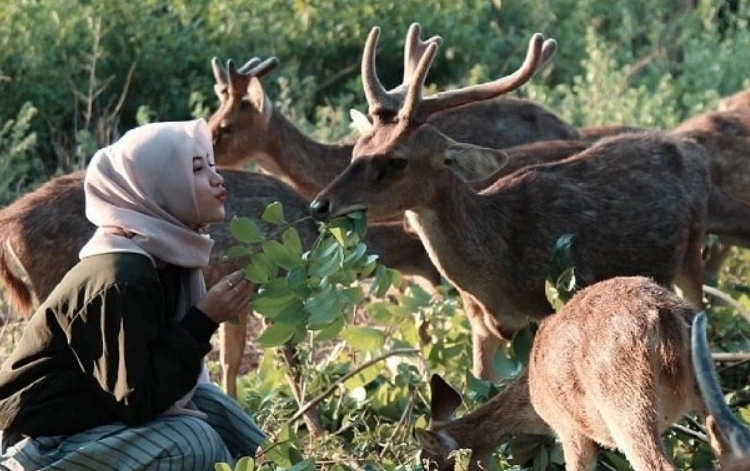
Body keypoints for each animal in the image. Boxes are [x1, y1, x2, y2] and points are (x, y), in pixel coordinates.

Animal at [308, 25, 712, 382]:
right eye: (357, 149)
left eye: (396, 161)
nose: (320, 205)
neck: (496, 268)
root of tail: (685, 146)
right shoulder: (480, 326)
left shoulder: (544, 308)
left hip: (693, 249)